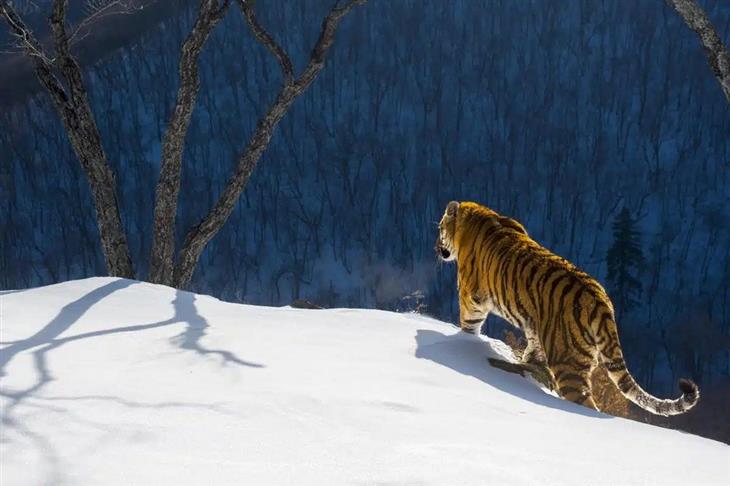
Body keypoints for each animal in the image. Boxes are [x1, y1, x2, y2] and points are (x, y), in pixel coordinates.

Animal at [436, 199, 696, 416]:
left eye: (439, 228)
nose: (437, 248)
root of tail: (600, 299)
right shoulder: (533, 323)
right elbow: (533, 346)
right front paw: (528, 360)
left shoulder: (472, 297)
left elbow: (469, 325)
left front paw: (465, 340)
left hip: (568, 363)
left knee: (585, 402)